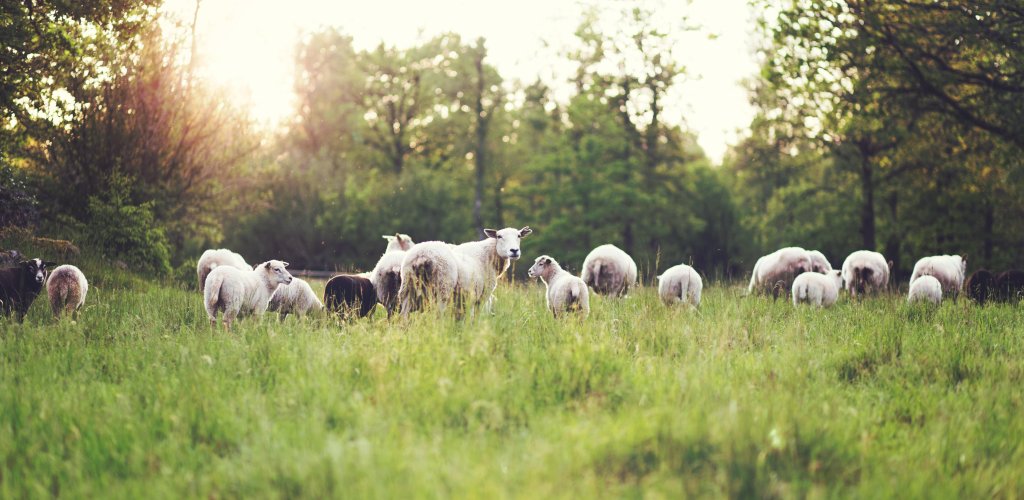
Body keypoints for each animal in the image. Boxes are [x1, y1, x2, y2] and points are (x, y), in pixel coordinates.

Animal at [399, 226, 532, 317]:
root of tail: (422, 255)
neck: (489, 256)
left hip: (407, 289)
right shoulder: (482, 296)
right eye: (499, 236)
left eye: (519, 236)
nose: (514, 251)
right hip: (443, 288)